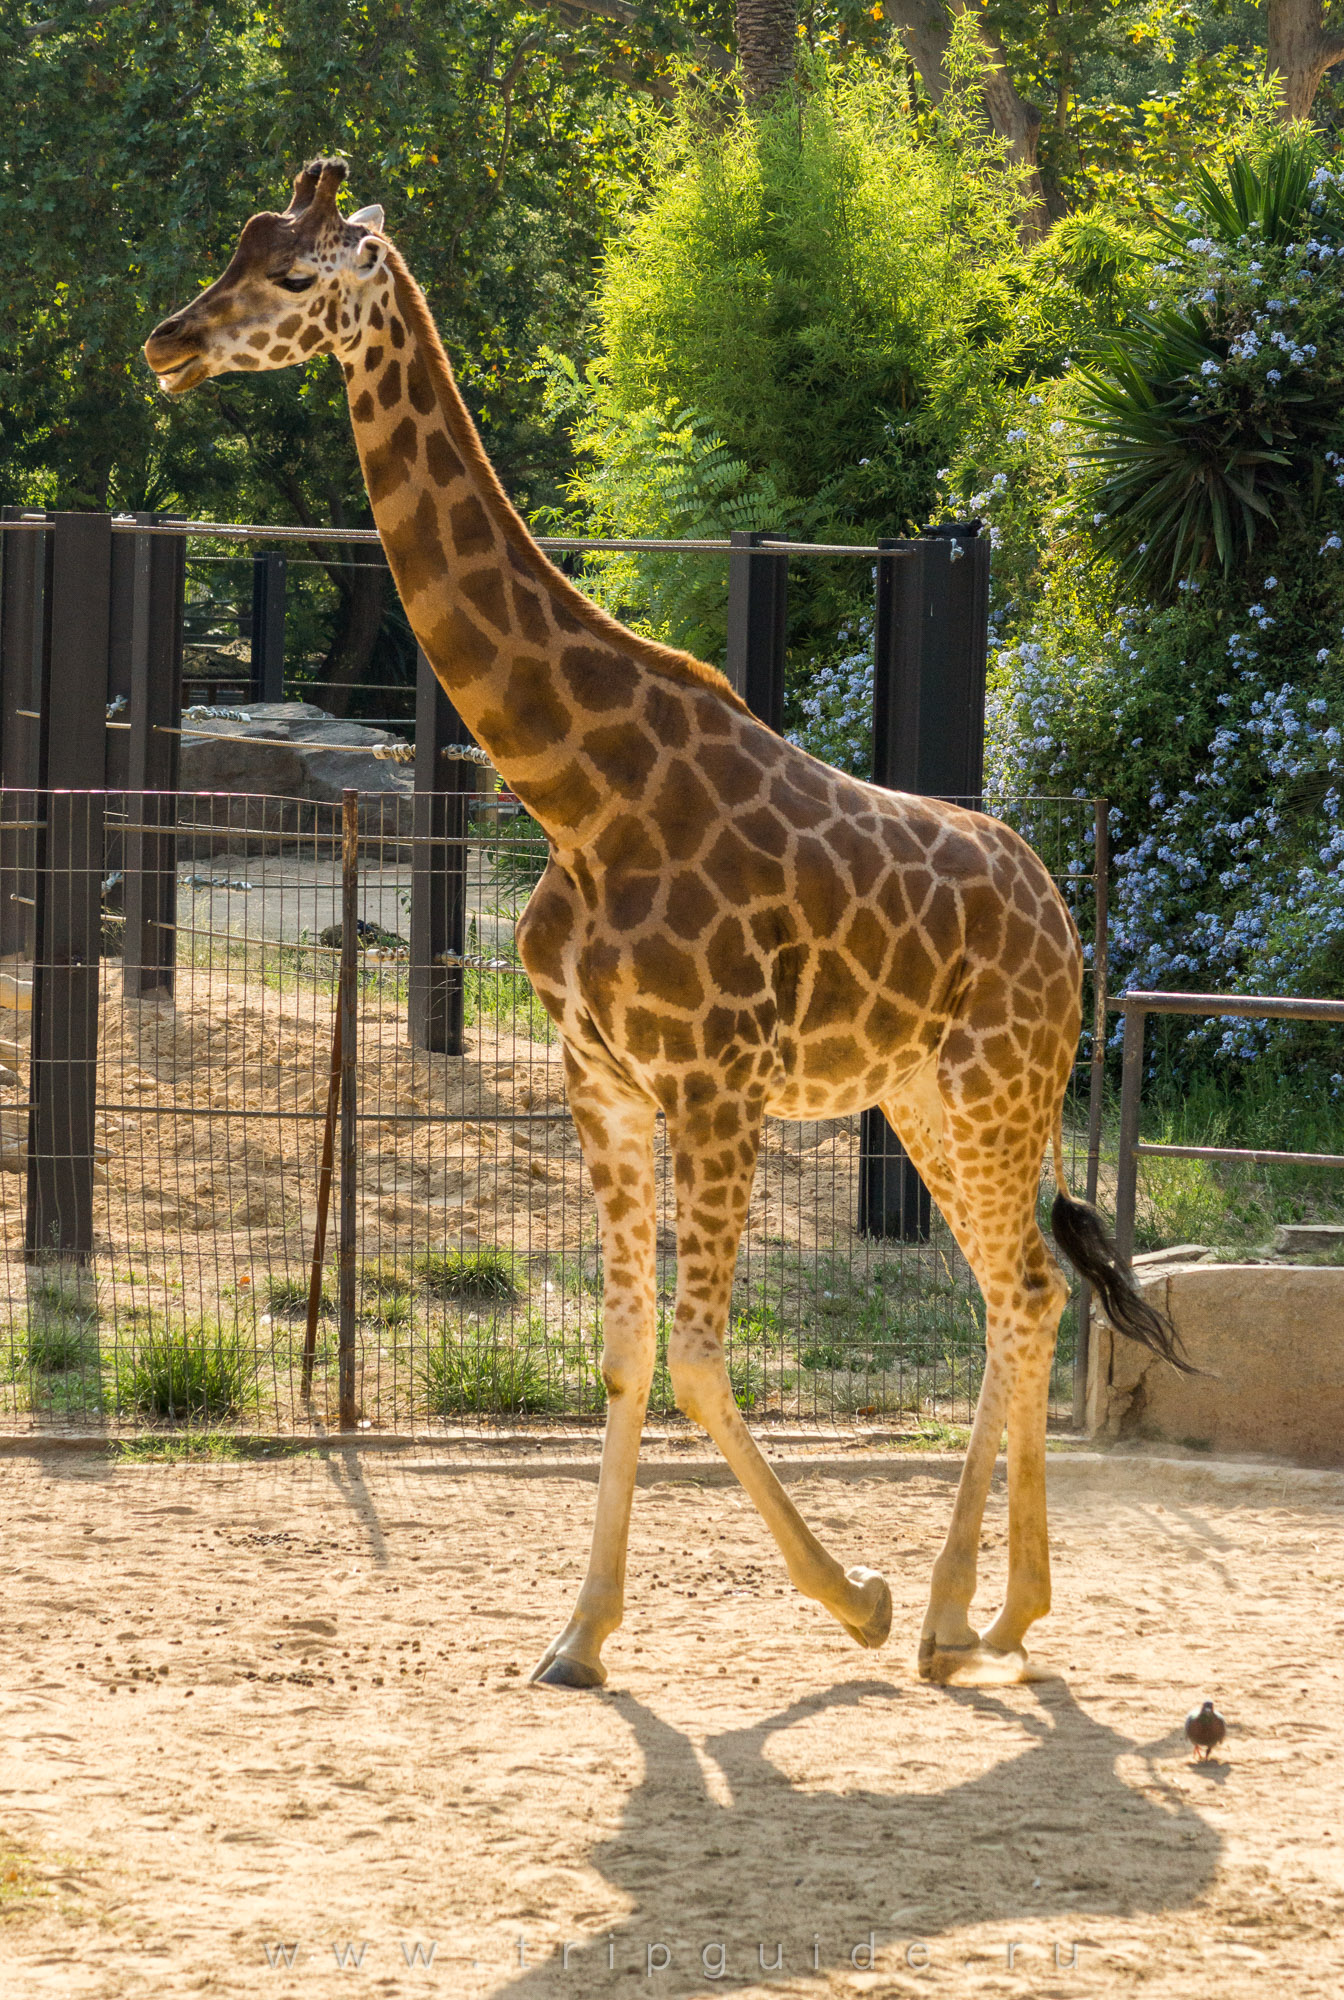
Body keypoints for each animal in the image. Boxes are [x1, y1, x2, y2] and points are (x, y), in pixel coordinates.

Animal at [145, 159, 1184, 1689]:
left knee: (1024, 1292)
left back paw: (948, 1610)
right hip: (927, 1099)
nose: (168, 343)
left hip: (998, 1089)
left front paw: (855, 1598)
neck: (582, 792)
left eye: (289, 277)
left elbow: (697, 1353)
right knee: (1024, 1292)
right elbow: (630, 1348)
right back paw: (994, 1614)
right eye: (236, 246)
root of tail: (1067, 920)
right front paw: (579, 1634)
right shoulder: (605, 1081)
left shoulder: (716, 1083)